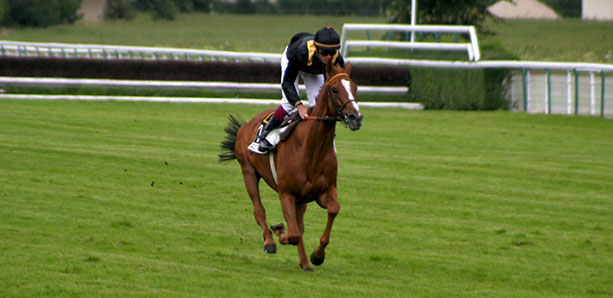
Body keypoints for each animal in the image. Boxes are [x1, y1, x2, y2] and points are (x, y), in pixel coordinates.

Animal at [219, 60, 360, 270]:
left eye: (355, 87)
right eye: (335, 89)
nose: (355, 117)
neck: (311, 149)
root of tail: (245, 125)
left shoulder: (322, 192)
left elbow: (332, 210)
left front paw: (317, 255)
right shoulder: (286, 193)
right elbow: (292, 233)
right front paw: (279, 231)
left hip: (301, 199)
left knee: (298, 225)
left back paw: (305, 263)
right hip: (248, 172)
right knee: (259, 211)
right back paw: (270, 241)